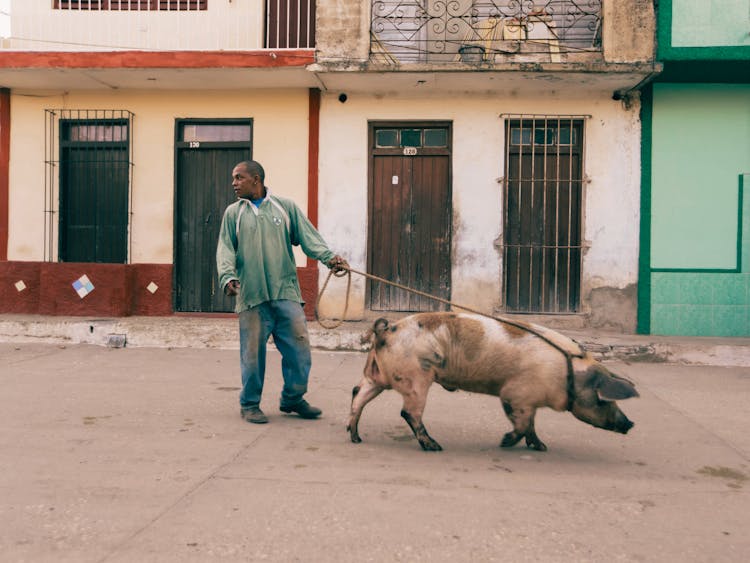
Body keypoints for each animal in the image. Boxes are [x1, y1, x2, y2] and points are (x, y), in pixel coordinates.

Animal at [348, 312, 640, 454]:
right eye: (605, 400)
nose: (630, 423)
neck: (569, 373)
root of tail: (385, 330)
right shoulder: (514, 394)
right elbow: (521, 424)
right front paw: (504, 442)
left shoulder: (530, 401)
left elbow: (532, 425)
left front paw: (542, 447)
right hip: (416, 379)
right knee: (408, 412)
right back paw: (434, 447)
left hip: (377, 375)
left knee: (357, 394)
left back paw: (356, 437)